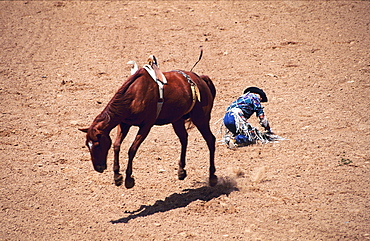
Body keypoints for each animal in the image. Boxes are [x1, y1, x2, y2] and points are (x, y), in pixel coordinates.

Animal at [79, 67, 217, 188]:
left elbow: (132, 149)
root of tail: (201, 79)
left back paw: (212, 177)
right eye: (87, 145)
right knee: (184, 139)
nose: (98, 168)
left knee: (210, 140)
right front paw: (117, 176)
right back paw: (181, 171)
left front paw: (128, 179)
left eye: (97, 145)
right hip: (177, 120)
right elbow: (116, 145)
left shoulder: (146, 126)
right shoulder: (124, 123)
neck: (134, 95)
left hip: (201, 119)